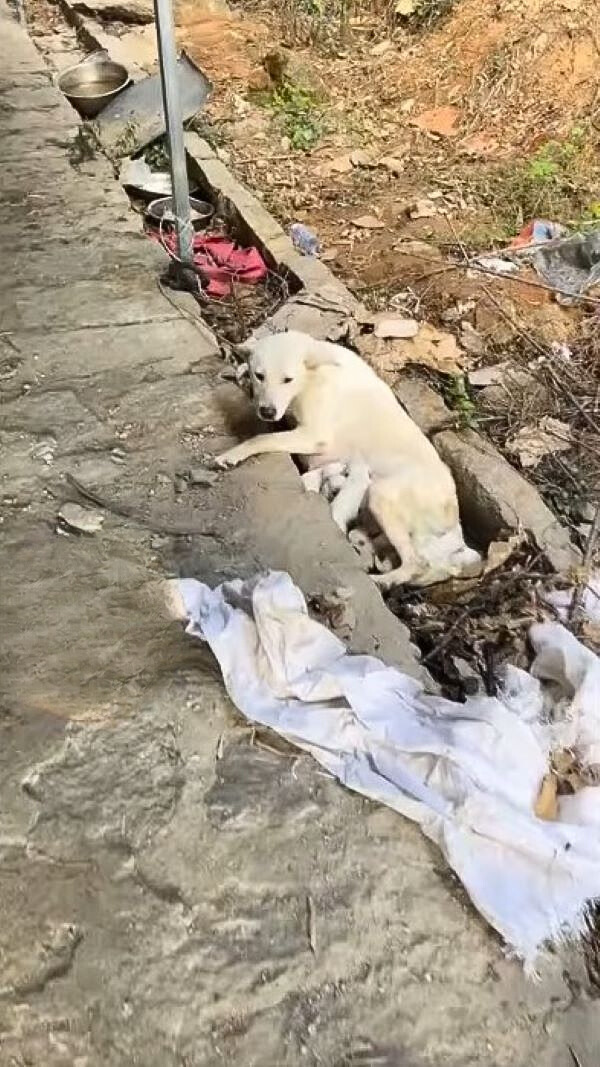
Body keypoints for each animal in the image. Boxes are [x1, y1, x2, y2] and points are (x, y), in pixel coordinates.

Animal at [216, 328, 478, 588]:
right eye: (260, 376)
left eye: (287, 379)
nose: (268, 412)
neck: (312, 377)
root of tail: (455, 522)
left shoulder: (313, 435)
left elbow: (260, 439)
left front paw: (231, 455)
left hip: (382, 495)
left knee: (416, 563)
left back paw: (383, 581)